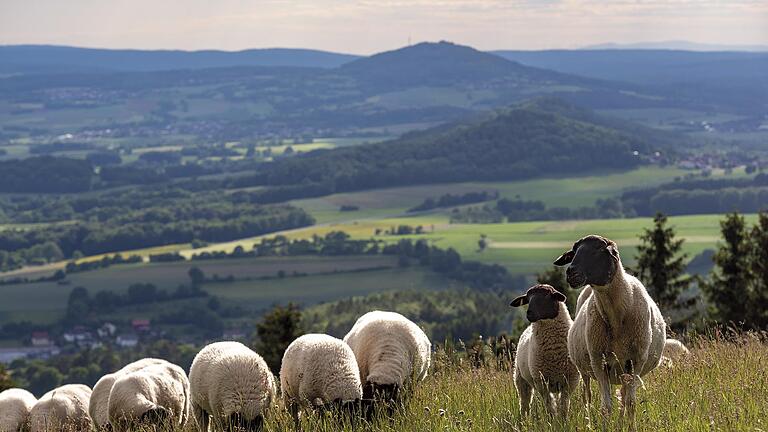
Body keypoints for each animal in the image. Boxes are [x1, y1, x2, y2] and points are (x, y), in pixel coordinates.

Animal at [512, 284, 580, 418]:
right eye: (527, 299)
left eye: (548, 296)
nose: (529, 313)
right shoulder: (541, 382)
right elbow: (550, 406)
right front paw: (552, 420)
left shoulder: (570, 381)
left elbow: (564, 406)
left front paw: (563, 420)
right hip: (521, 379)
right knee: (525, 402)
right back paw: (524, 419)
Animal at [552, 236, 664, 432]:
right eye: (573, 253)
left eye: (597, 250)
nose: (570, 272)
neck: (616, 316)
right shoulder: (599, 362)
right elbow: (606, 407)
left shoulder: (635, 362)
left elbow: (631, 404)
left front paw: (630, 427)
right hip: (586, 370)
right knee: (587, 397)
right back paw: (589, 420)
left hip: (625, 371)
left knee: (624, 398)